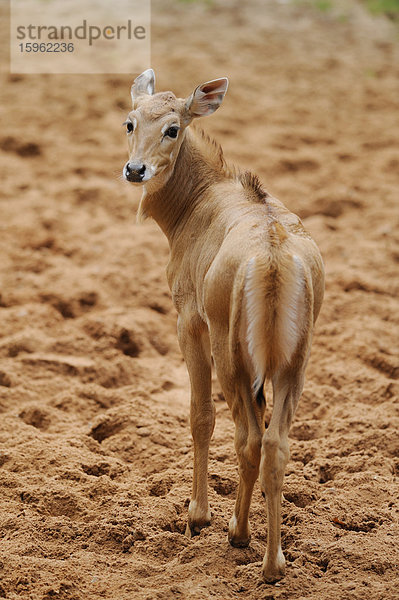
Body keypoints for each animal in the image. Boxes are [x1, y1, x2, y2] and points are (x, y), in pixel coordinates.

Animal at [122, 70, 324, 580]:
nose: (135, 171)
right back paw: (274, 560)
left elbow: (200, 415)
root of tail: (273, 262)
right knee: (275, 444)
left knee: (248, 437)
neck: (193, 205)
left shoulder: (187, 318)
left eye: (173, 128)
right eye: (130, 121)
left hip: (231, 350)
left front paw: (196, 514)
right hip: (294, 360)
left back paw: (239, 533)